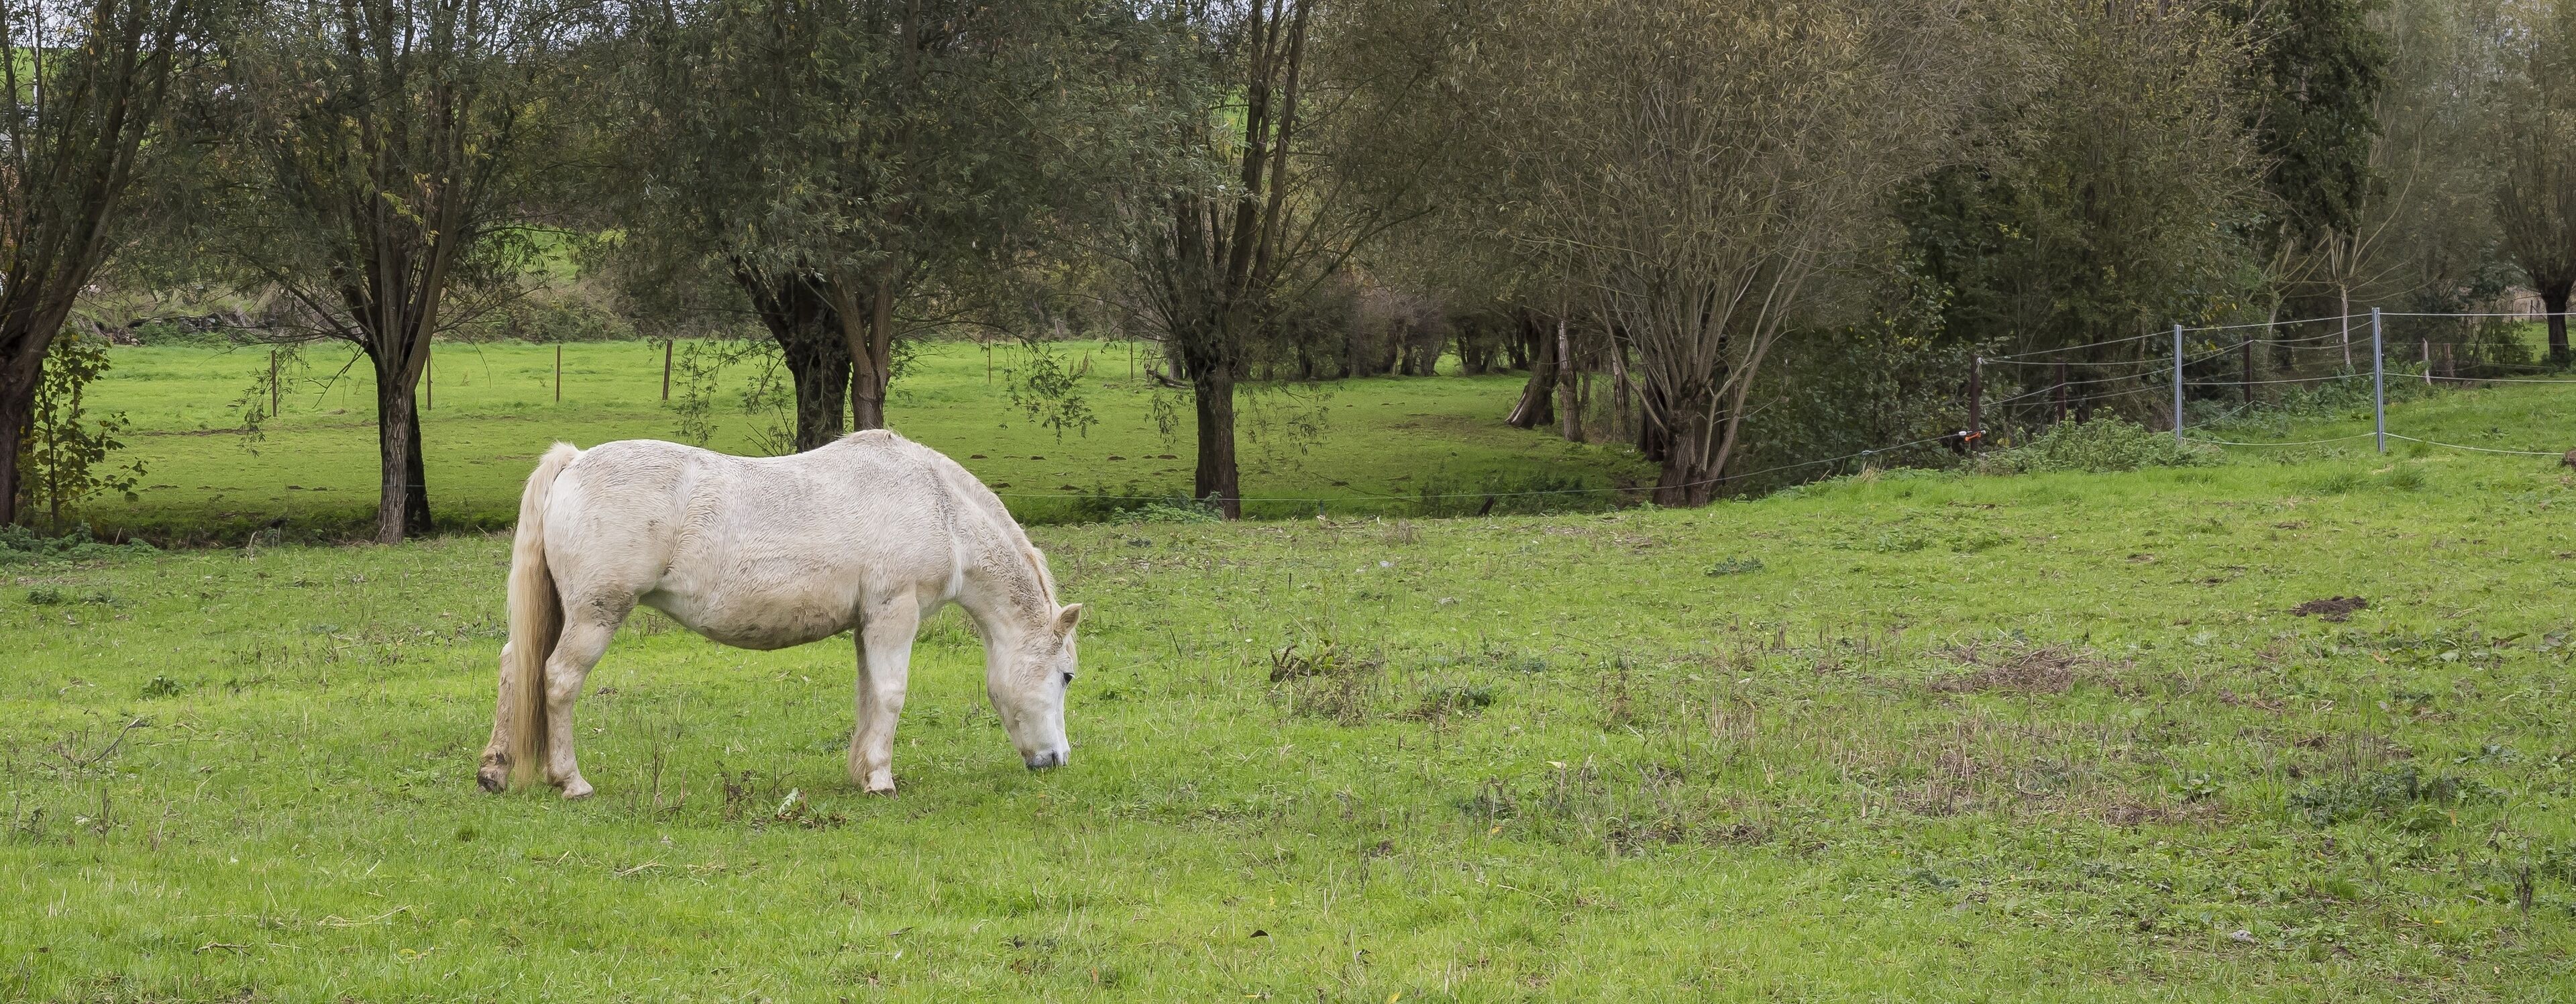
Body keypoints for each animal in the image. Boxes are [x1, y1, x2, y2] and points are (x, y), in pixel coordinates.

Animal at [474, 429, 1084, 799]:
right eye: (1067, 675)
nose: (1057, 759)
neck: (940, 509)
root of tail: (575, 461)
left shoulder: (868, 625)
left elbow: (869, 696)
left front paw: (864, 771)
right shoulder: (895, 614)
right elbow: (891, 696)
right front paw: (881, 781)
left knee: (515, 665)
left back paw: (494, 769)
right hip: (595, 615)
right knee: (558, 679)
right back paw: (571, 781)